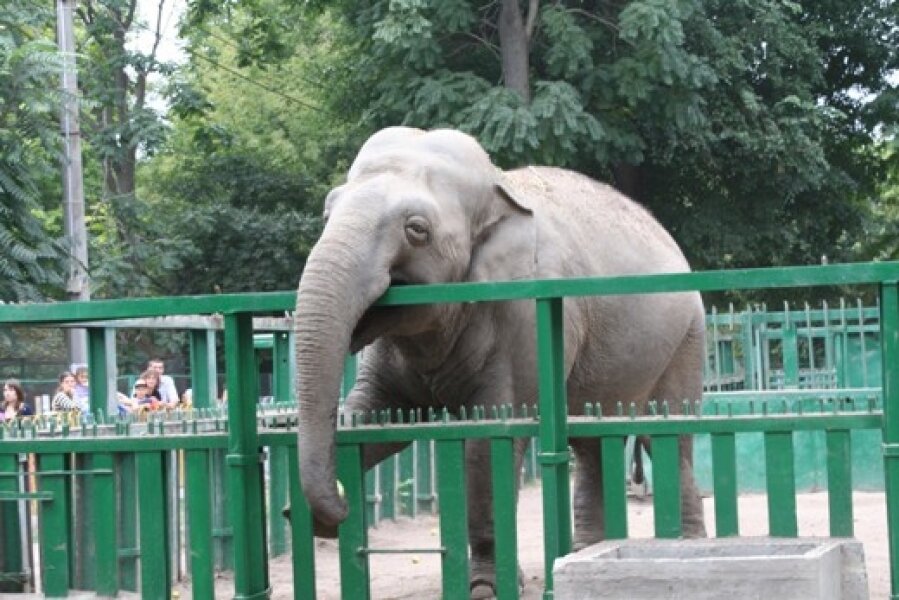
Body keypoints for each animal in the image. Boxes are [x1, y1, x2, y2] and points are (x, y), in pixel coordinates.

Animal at [296, 125, 712, 596]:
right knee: (591, 443)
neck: (499, 186)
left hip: (686, 340)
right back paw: (586, 551)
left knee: (668, 437)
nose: (339, 509)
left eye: (417, 229)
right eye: (327, 213)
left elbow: (490, 443)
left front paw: (484, 588)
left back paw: (687, 551)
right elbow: (373, 418)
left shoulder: (524, 317)